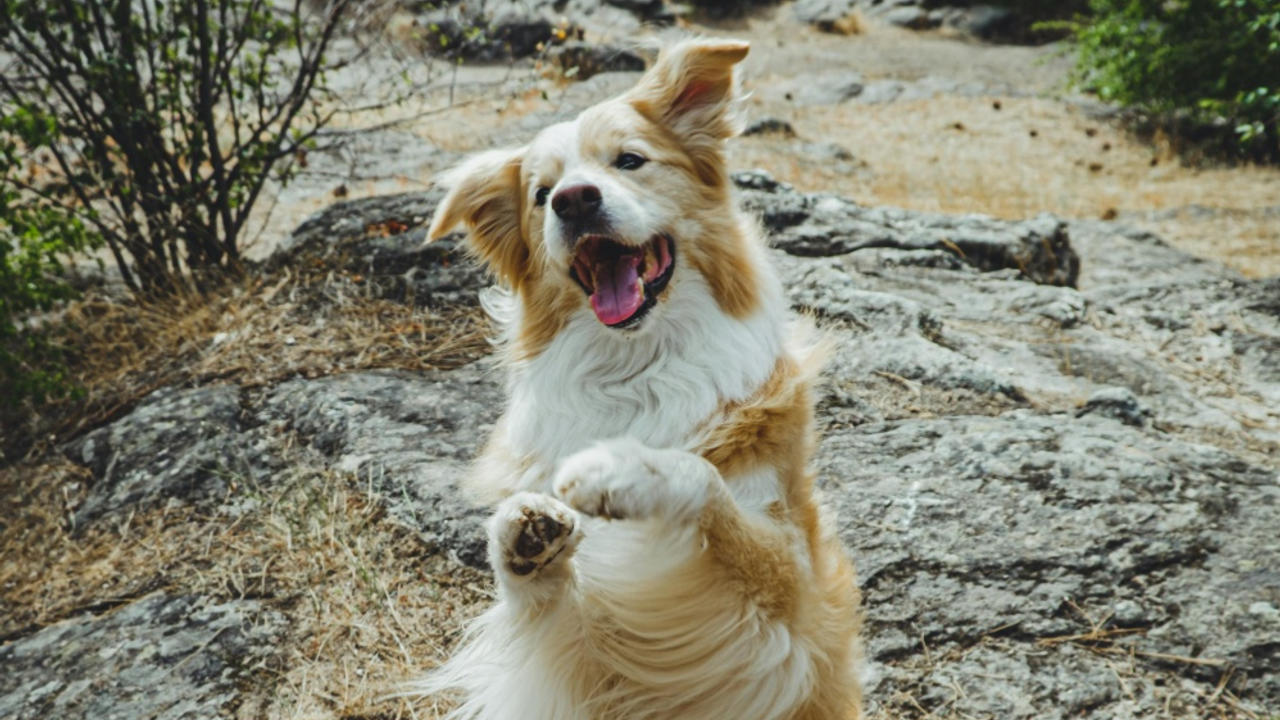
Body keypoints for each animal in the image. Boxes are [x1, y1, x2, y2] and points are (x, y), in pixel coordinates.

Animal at [414, 39, 865, 717]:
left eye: (630, 160)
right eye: (542, 194)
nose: (574, 199)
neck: (637, 370)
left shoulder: (792, 608)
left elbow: (703, 479)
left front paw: (624, 470)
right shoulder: (588, 659)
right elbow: (542, 604)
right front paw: (521, 536)